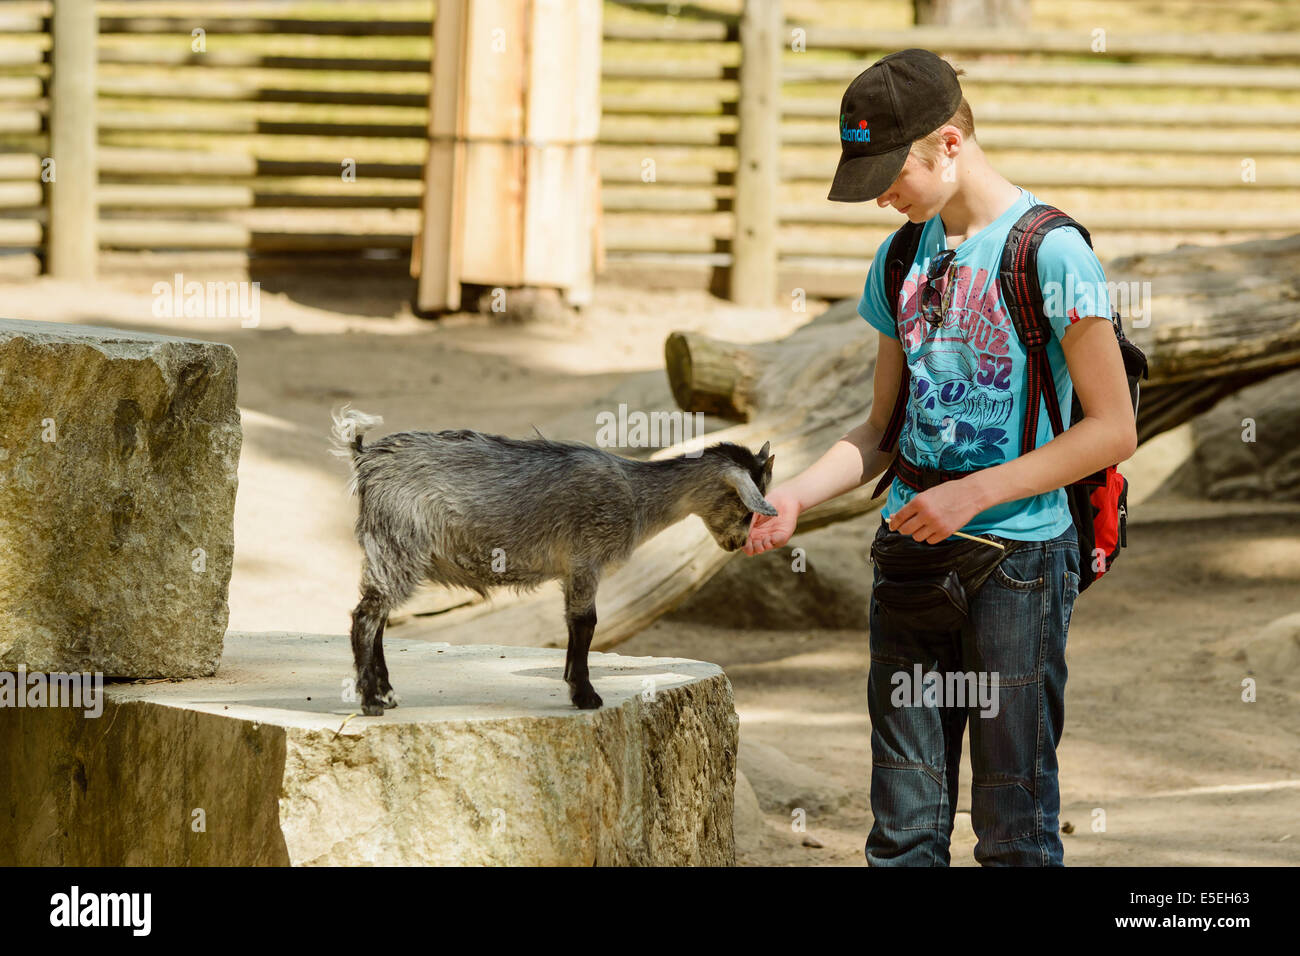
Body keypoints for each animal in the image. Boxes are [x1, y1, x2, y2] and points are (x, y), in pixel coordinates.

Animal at [330, 408, 774, 712]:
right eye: (746, 506)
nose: (738, 542)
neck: (637, 494)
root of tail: (366, 458)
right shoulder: (585, 560)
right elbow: (586, 623)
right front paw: (585, 695)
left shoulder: (572, 571)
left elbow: (574, 625)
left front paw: (572, 684)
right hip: (398, 545)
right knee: (365, 617)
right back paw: (370, 699)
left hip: (387, 550)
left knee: (378, 616)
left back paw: (386, 692)